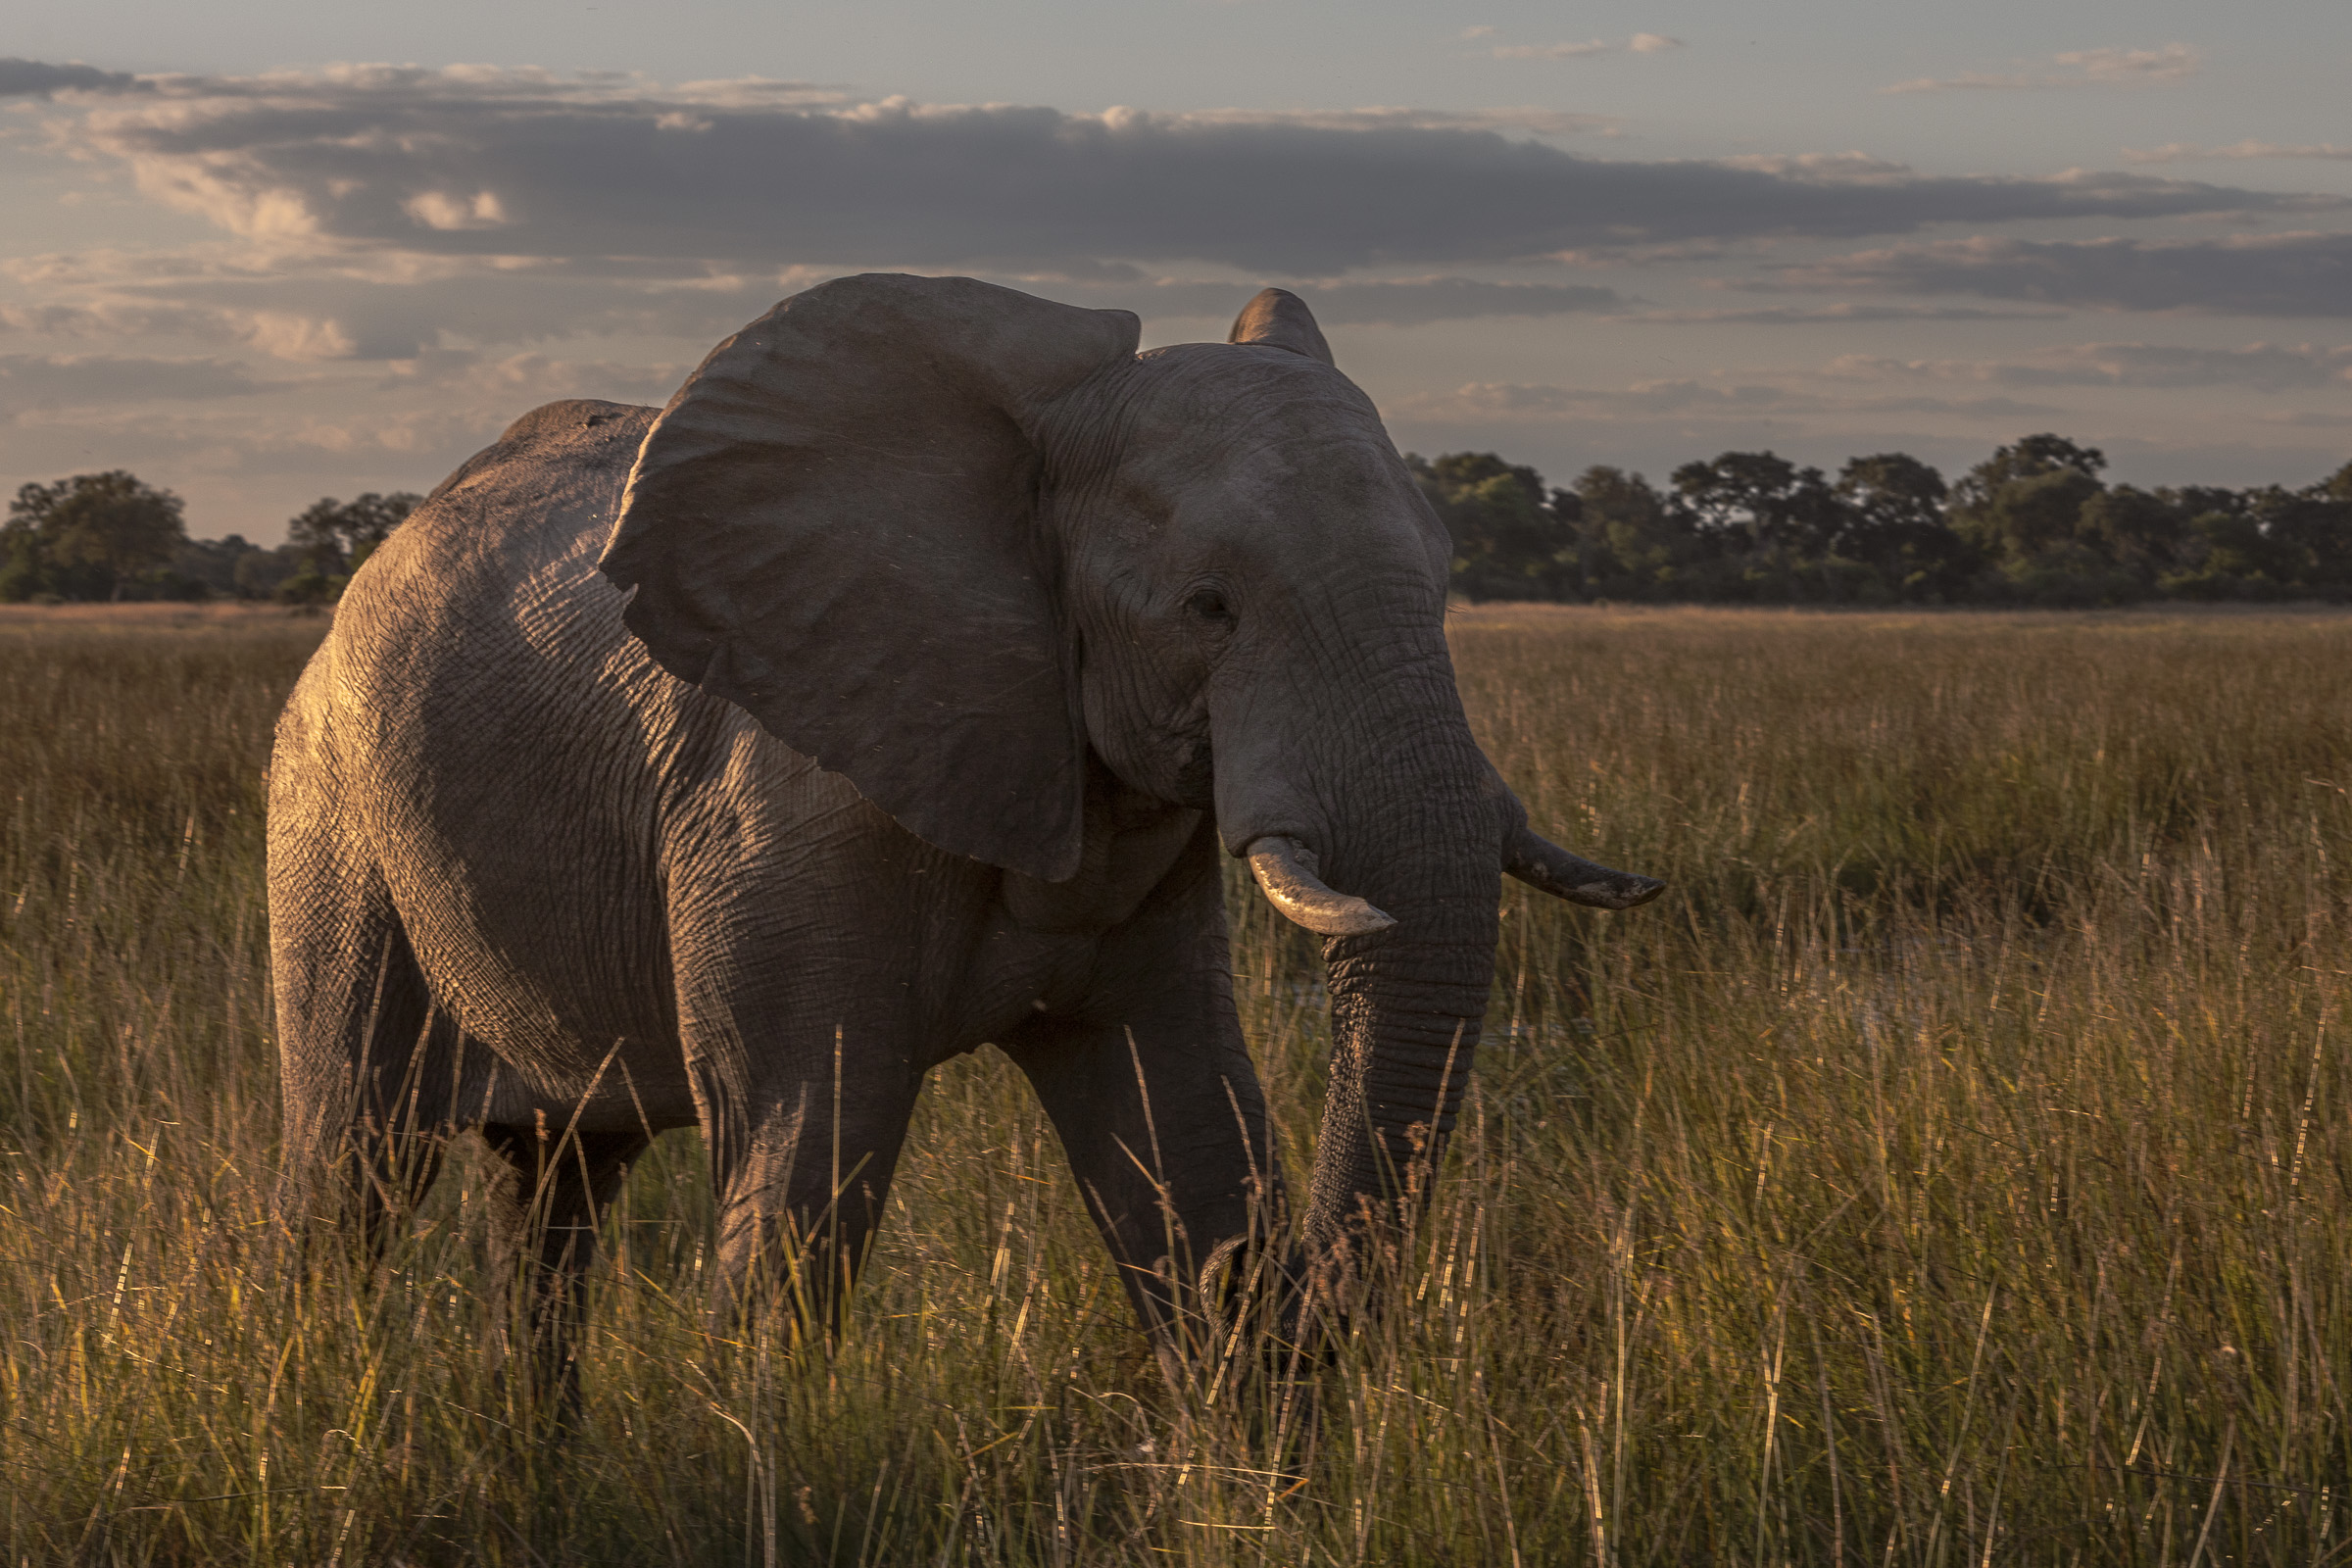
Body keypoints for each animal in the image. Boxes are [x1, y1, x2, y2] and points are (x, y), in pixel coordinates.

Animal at [267, 274, 1662, 1394]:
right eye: (1209, 606)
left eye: (1446, 581)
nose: (1285, 1294)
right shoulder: (782, 808)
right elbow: (804, 1159)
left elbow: (1181, 1128)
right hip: (329, 820)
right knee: (350, 1170)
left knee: (553, 1184)